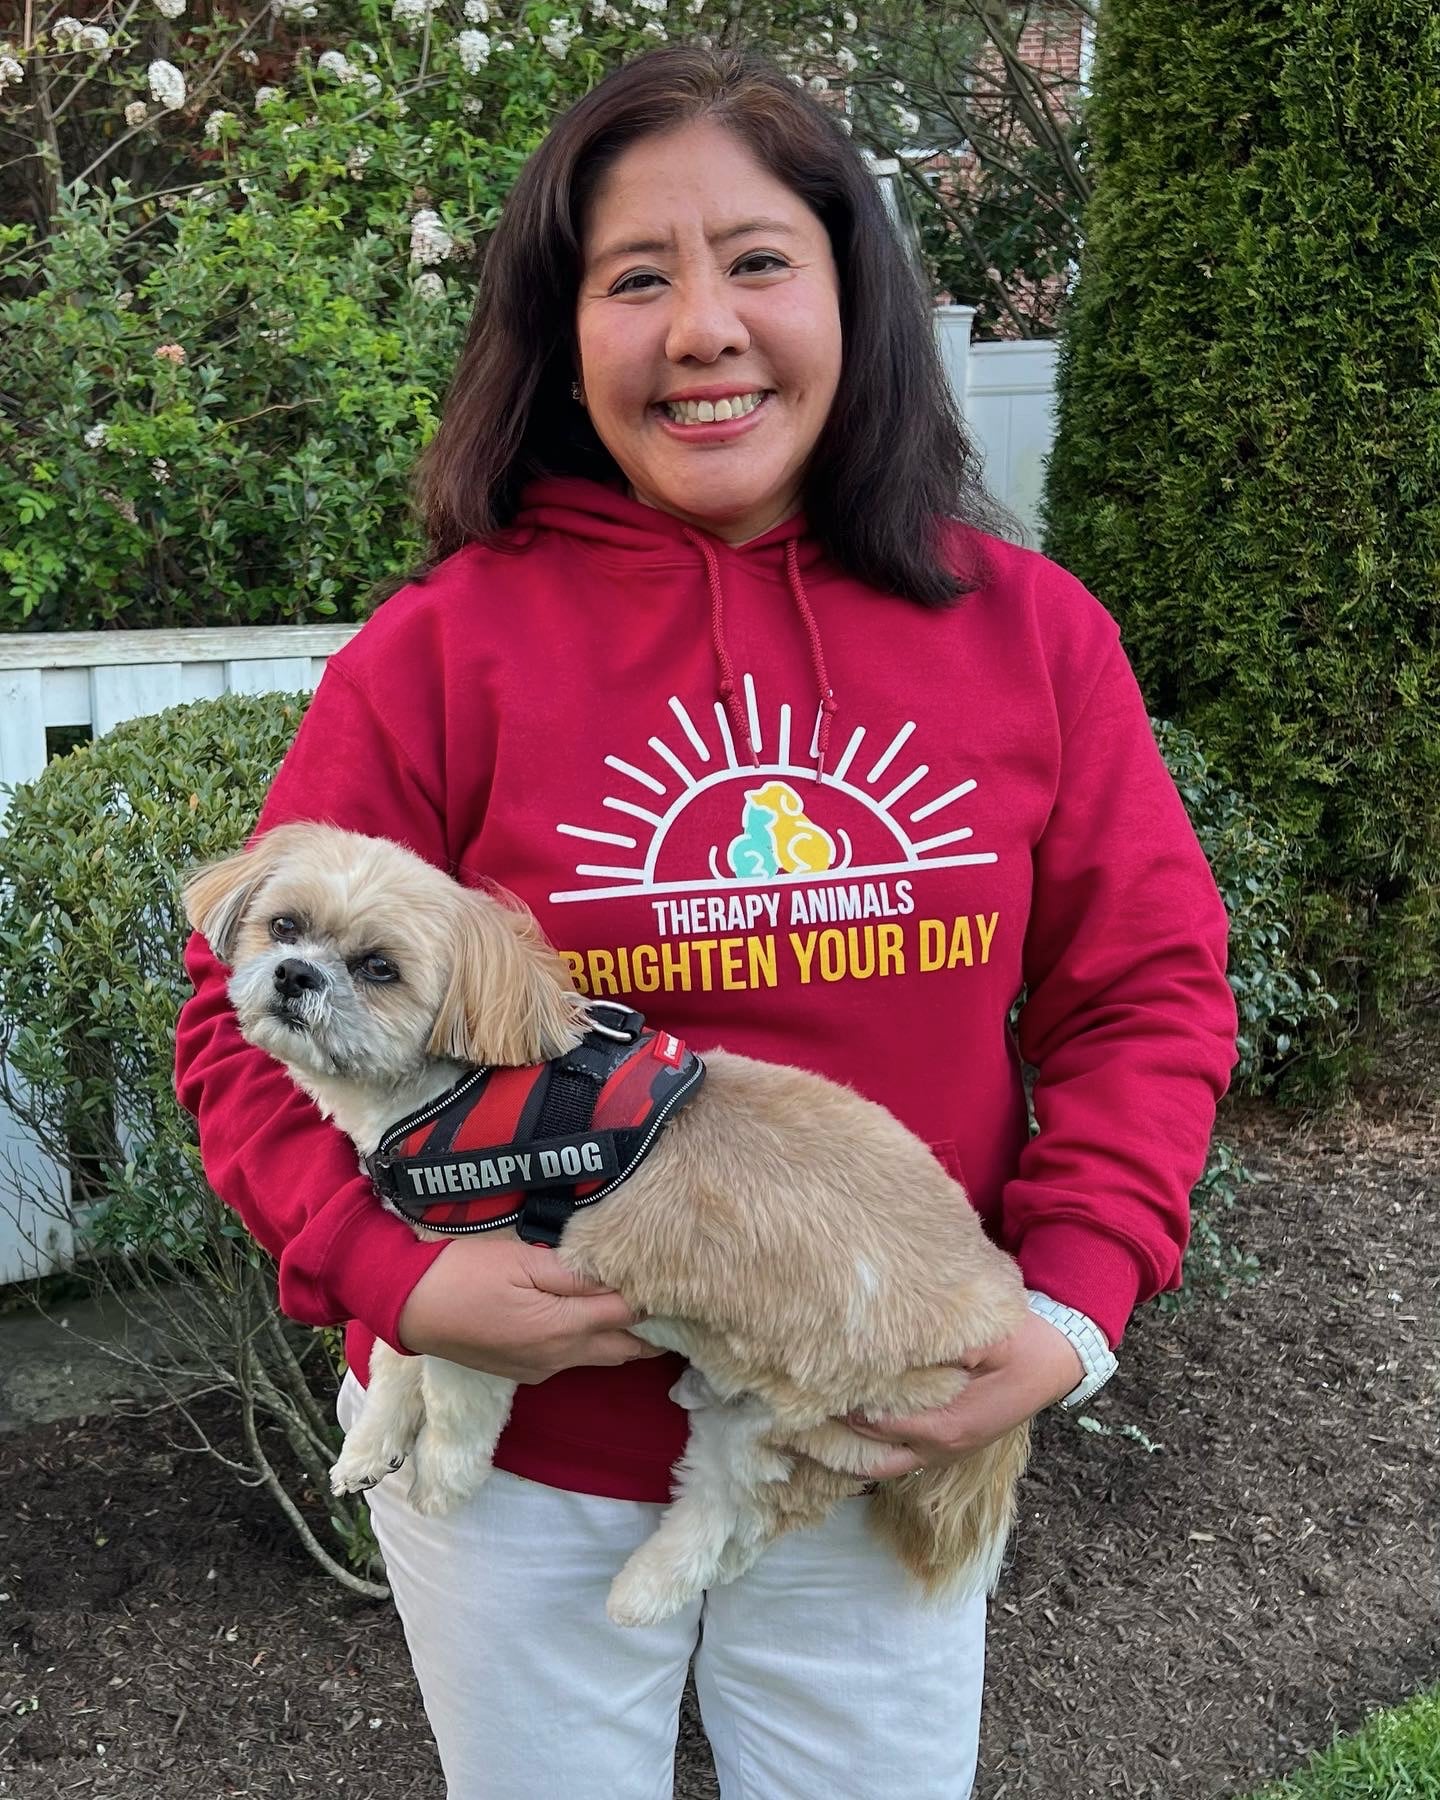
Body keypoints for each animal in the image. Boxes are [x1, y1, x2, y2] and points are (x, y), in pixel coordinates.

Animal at [185, 824, 1029, 1634]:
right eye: (283, 926)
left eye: (379, 968)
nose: (297, 974)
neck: (453, 1088)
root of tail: (1000, 1299)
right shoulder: (435, 1267)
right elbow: (399, 1354)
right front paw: (371, 1446)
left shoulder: (485, 1285)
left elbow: (455, 1397)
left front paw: (442, 1479)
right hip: (757, 1415)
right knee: (729, 1519)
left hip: (829, 1419)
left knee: (741, 1508)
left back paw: (643, 1591)